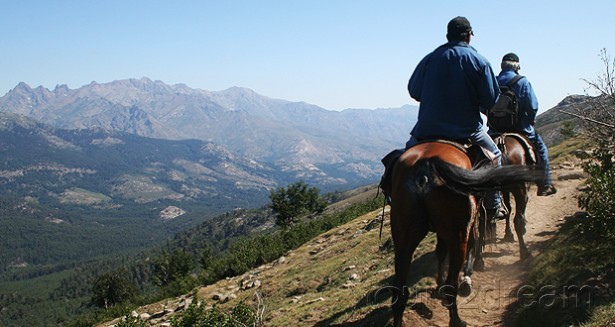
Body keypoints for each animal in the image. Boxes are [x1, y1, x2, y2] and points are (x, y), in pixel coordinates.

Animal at [392, 142, 540, 327]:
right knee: (452, 284)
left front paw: (442, 283)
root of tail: (423, 169)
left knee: (399, 293)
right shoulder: (477, 213)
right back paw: (457, 319)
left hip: (403, 239)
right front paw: (472, 270)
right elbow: (477, 238)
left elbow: (442, 250)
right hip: (458, 233)